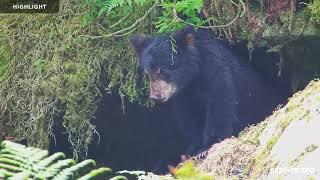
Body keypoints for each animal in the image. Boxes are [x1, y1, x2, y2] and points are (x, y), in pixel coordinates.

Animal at [130, 26, 284, 153]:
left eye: (163, 70)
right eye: (147, 73)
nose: (156, 96)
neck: (193, 77)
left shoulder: (216, 72)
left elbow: (220, 106)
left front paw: (208, 145)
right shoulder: (184, 95)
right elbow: (189, 117)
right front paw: (195, 147)